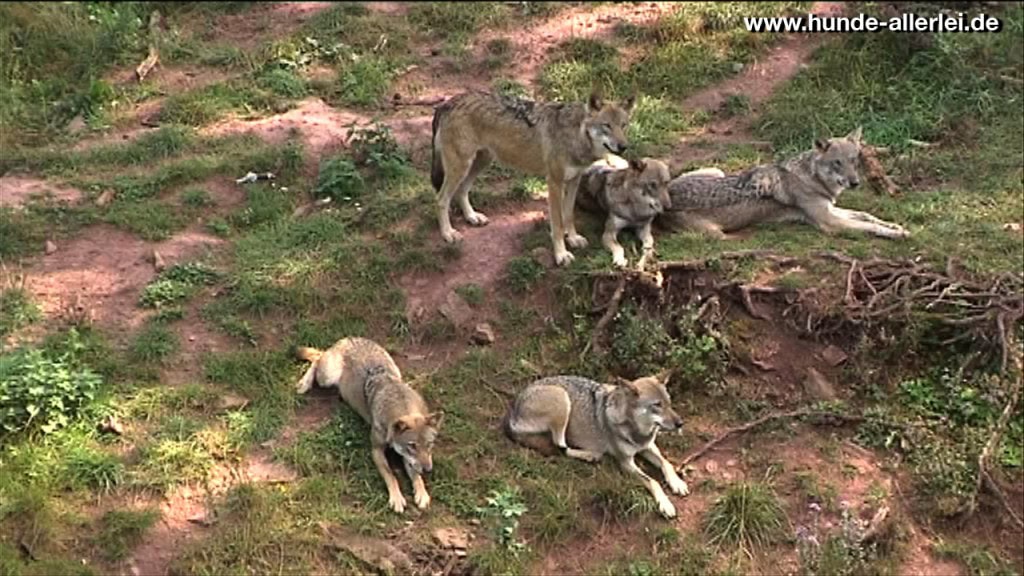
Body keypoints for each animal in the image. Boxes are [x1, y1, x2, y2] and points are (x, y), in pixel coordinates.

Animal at [295, 337, 443, 514]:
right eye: (412, 446)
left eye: (429, 445)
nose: (428, 470)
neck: (399, 402)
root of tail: (347, 339)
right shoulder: (376, 450)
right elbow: (391, 476)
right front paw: (396, 499)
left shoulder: (408, 458)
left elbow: (416, 476)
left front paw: (421, 494)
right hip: (326, 378)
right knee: (317, 358)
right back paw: (304, 383)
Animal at [431, 89, 636, 267]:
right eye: (607, 126)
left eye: (624, 125)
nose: (624, 146)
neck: (575, 135)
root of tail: (447, 103)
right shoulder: (554, 183)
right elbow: (557, 224)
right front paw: (561, 254)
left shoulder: (574, 181)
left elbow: (569, 215)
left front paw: (573, 238)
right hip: (461, 167)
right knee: (441, 199)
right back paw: (448, 233)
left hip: (479, 162)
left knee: (462, 191)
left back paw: (472, 217)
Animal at [503, 370, 689, 519]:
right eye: (657, 405)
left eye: (669, 403)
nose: (681, 423)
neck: (637, 430)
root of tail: (513, 407)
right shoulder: (625, 462)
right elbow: (652, 481)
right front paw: (666, 504)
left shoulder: (648, 447)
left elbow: (666, 463)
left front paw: (677, 483)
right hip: (562, 400)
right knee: (560, 446)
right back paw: (591, 455)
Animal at [658, 127, 910, 239]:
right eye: (837, 163)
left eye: (853, 160)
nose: (855, 183)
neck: (812, 179)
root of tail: (666, 194)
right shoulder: (829, 221)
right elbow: (866, 226)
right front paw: (895, 233)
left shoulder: (831, 209)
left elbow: (866, 215)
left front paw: (895, 226)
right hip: (717, 233)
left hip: (717, 170)